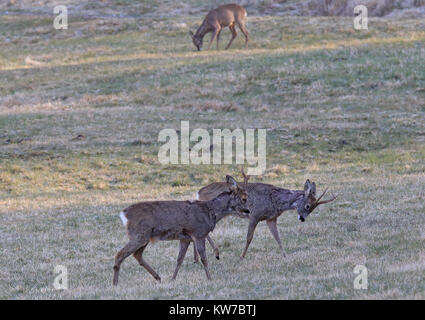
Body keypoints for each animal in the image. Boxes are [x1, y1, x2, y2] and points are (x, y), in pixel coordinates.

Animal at [112, 175, 250, 284]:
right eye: (244, 198)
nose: (248, 211)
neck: (211, 212)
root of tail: (124, 214)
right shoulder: (199, 233)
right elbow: (204, 258)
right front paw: (210, 278)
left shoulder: (185, 238)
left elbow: (179, 259)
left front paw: (173, 279)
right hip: (139, 235)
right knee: (120, 254)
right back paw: (115, 284)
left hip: (144, 237)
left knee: (137, 255)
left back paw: (158, 277)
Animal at [196, 169, 338, 258]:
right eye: (308, 206)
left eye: (313, 209)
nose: (302, 218)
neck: (275, 200)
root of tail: (199, 192)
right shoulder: (255, 215)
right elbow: (249, 238)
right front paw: (241, 257)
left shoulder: (271, 219)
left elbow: (278, 237)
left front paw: (285, 255)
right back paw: (214, 252)